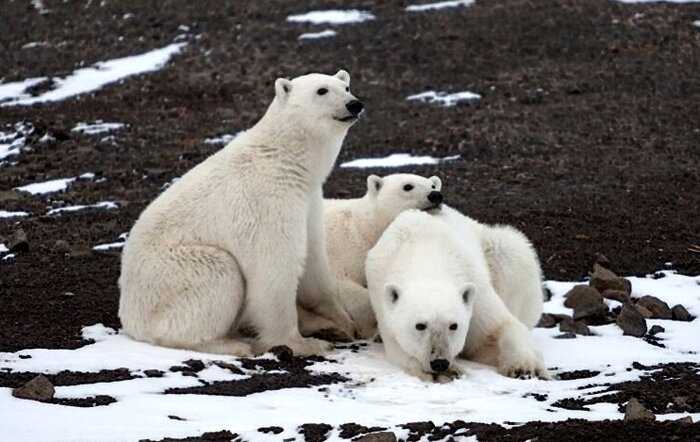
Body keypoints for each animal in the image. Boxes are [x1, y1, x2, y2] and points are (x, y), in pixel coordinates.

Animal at [296, 174, 440, 338]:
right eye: (407, 186)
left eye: (433, 185)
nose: (436, 195)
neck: (364, 229)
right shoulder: (339, 251)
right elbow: (342, 285)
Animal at [364, 209, 548, 382]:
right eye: (420, 325)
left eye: (454, 325)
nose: (439, 362)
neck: (425, 250)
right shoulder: (381, 300)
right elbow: (398, 347)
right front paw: (449, 371)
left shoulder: (475, 286)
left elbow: (499, 328)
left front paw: (524, 368)